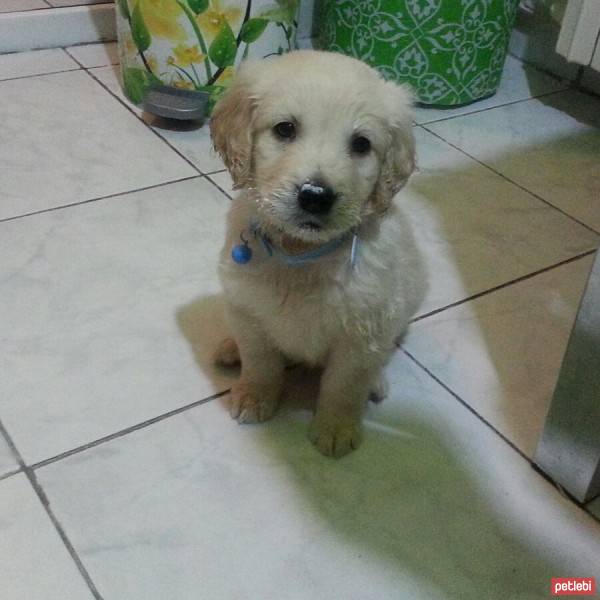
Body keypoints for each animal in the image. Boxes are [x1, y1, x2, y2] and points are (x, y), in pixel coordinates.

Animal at [211, 51, 426, 458]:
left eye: (361, 144)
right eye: (284, 129)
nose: (315, 196)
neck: (302, 253)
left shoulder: (362, 333)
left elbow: (344, 385)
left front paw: (336, 428)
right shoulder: (248, 310)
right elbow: (260, 362)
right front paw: (254, 396)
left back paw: (377, 381)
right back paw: (229, 347)